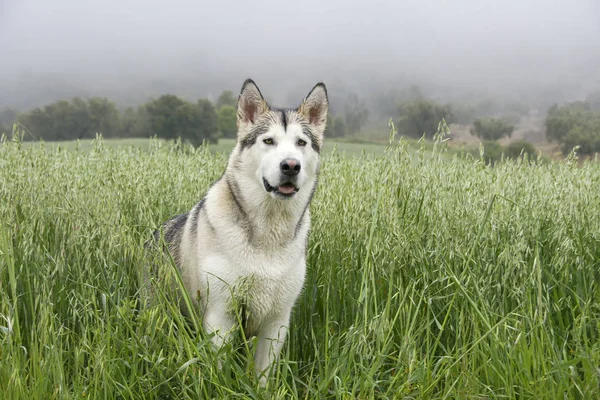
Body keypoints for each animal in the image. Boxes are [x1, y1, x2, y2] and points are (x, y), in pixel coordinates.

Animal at [150, 79, 328, 388]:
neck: (268, 232)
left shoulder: (277, 321)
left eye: (301, 143)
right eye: (268, 141)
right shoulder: (221, 316)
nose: (291, 166)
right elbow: (219, 368)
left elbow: (264, 375)